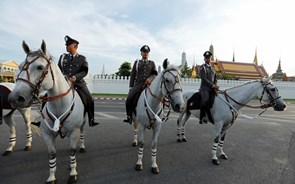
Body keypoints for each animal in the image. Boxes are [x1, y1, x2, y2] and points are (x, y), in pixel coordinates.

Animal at [8, 40, 86, 183]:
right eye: (20, 66)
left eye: (40, 67)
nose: (14, 98)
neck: (59, 105)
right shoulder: (47, 134)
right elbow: (52, 154)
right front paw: (51, 176)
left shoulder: (74, 132)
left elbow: (72, 151)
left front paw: (73, 172)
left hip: (82, 124)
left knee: (82, 133)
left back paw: (82, 147)